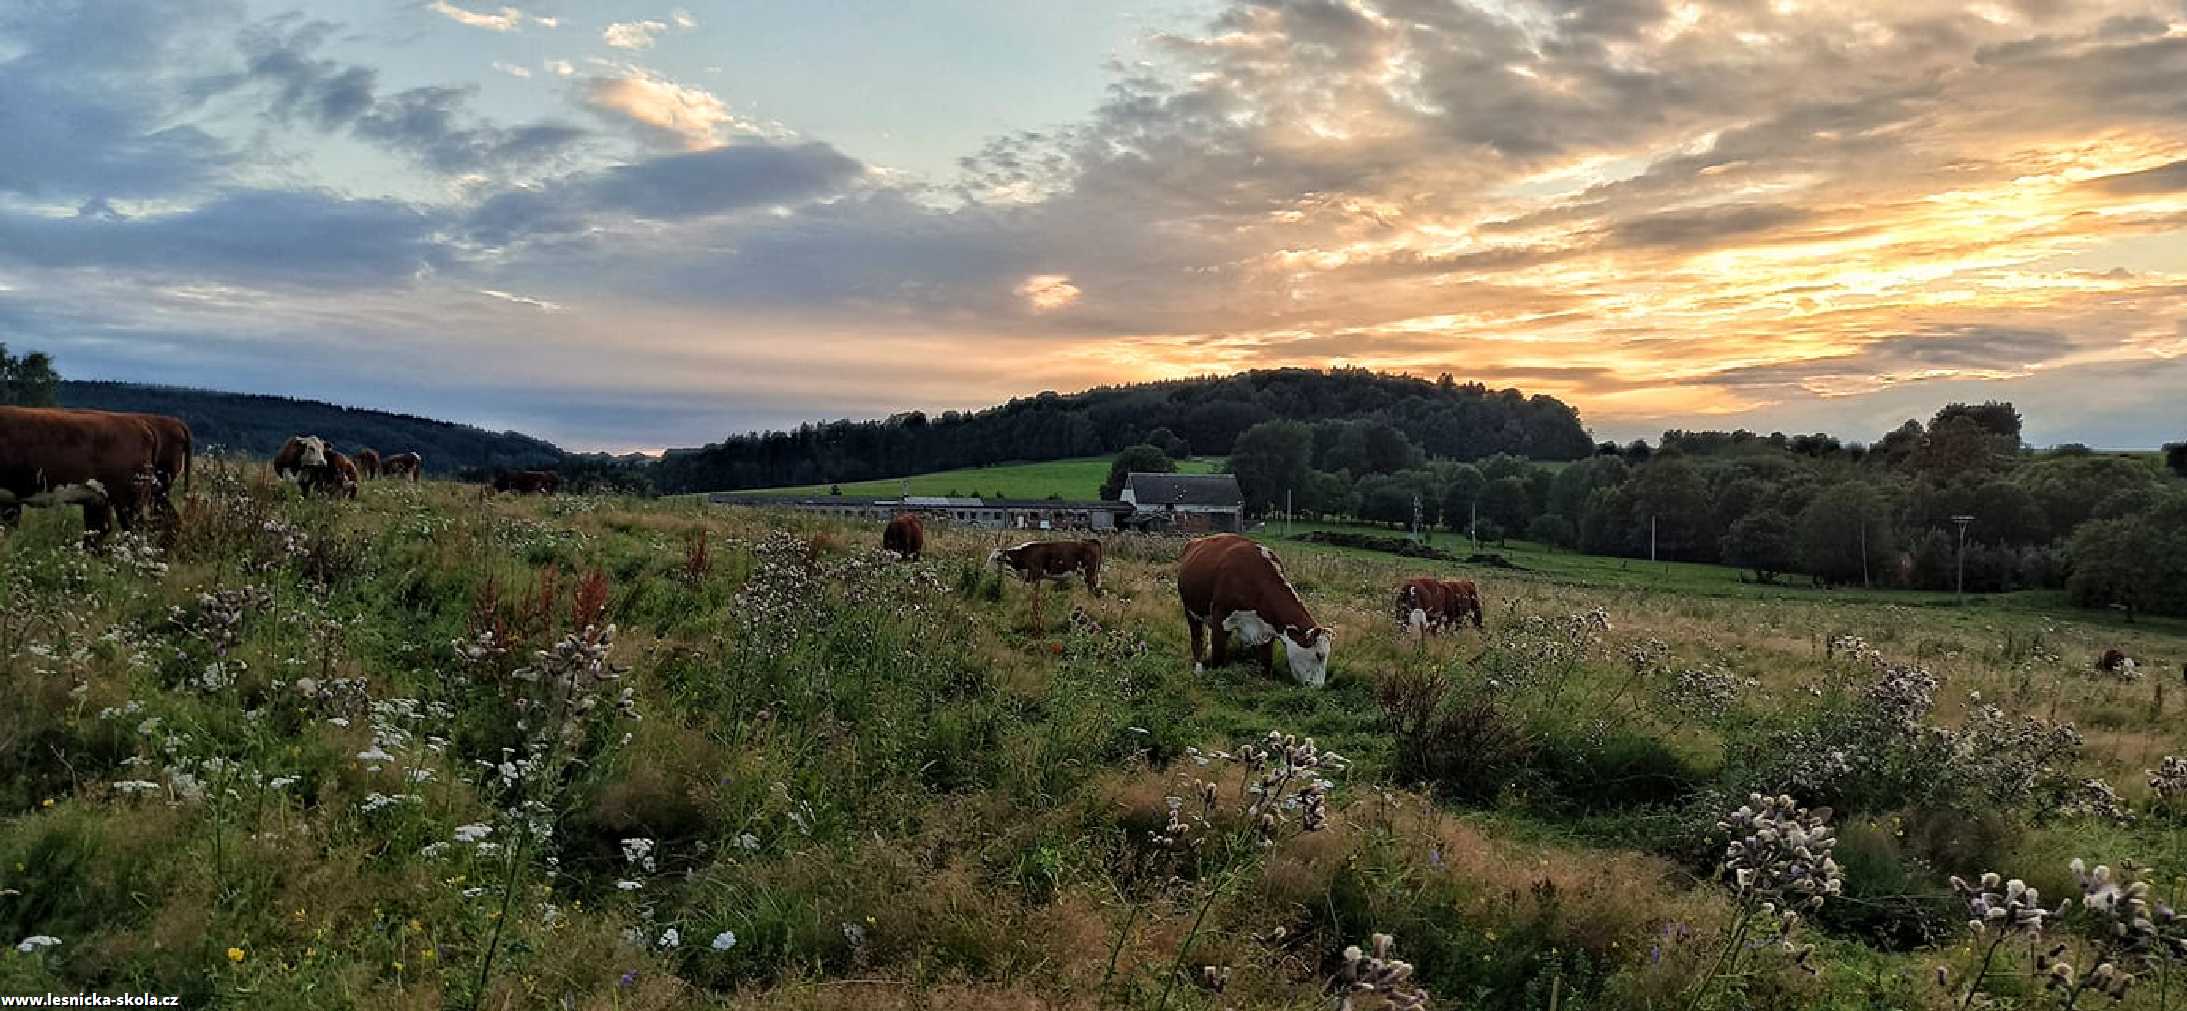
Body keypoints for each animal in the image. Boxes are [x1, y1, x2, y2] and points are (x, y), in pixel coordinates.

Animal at [1180, 529, 1329, 687]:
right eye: (1319, 655)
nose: (1318, 686)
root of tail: (1195, 541)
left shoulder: (1267, 628)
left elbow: (1267, 663)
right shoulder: (1220, 618)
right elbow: (1218, 657)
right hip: (1190, 611)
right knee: (1196, 639)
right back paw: (1198, 670)